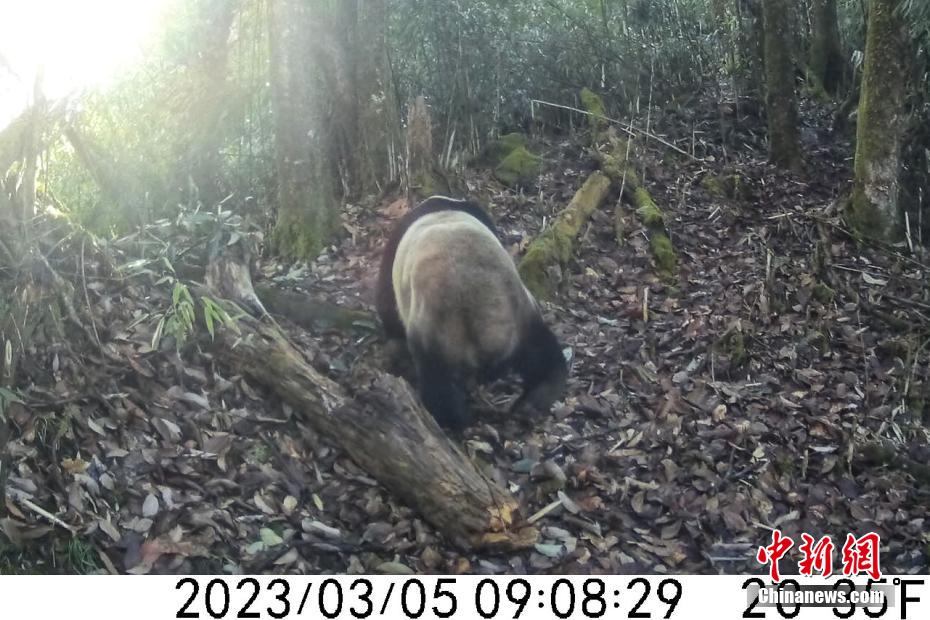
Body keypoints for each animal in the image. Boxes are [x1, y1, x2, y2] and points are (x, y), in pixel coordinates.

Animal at [372, 196, 564, 428]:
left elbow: (386, 301)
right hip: (521, 314)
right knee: (541, 350)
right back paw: (535, 398)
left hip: (436, 331)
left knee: (437, 381)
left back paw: (456, 418)